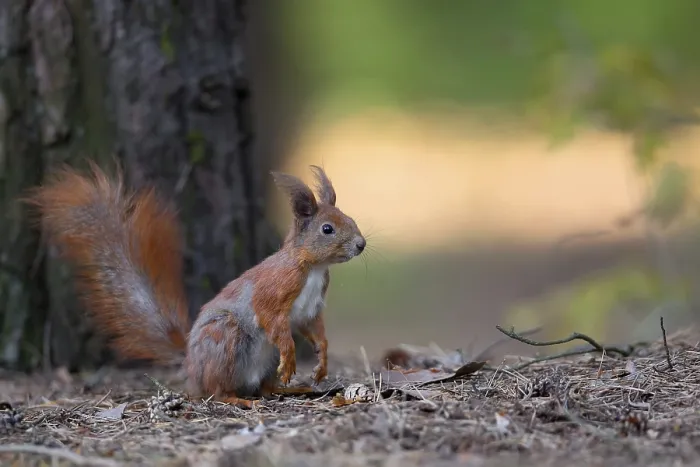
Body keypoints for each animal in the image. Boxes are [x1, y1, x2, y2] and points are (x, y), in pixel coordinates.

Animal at [26, 162, 366, 409]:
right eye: (327, 229)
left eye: (350, 219)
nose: (361, 245)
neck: (313, 268)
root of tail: (191, 363)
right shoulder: (274, 288)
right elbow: (273, 320)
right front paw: (291, 354)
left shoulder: (311, 308)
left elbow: (315, 330)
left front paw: (321, 363)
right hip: (225, 339)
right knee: (216, 391)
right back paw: (239, 399)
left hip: (261, 360)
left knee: (264, 387)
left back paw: (293, 388)